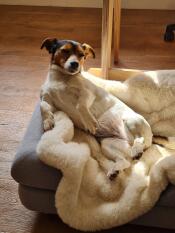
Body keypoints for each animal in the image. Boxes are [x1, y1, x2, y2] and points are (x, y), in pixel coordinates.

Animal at [39, 38, 152, 179]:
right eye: (64, 50)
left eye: (81, 55)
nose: (75, 64)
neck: (62, 78)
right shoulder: (49, 100)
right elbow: (43, 106)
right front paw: (48, 121)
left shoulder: (87, 93)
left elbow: (80, 105)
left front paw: (90, 122)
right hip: (108, 144)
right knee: (124, 161)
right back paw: (115, 170)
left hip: (132, 121)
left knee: (139, 138)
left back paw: (137, 149)